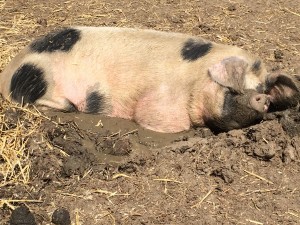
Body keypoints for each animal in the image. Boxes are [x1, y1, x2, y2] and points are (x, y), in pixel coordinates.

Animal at [0, 26, 298, 133]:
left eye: (262, 88)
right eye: (234, 88)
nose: (263, 98)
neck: (195, 80)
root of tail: (8, 72)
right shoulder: (161, 104)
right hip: (41, 80)